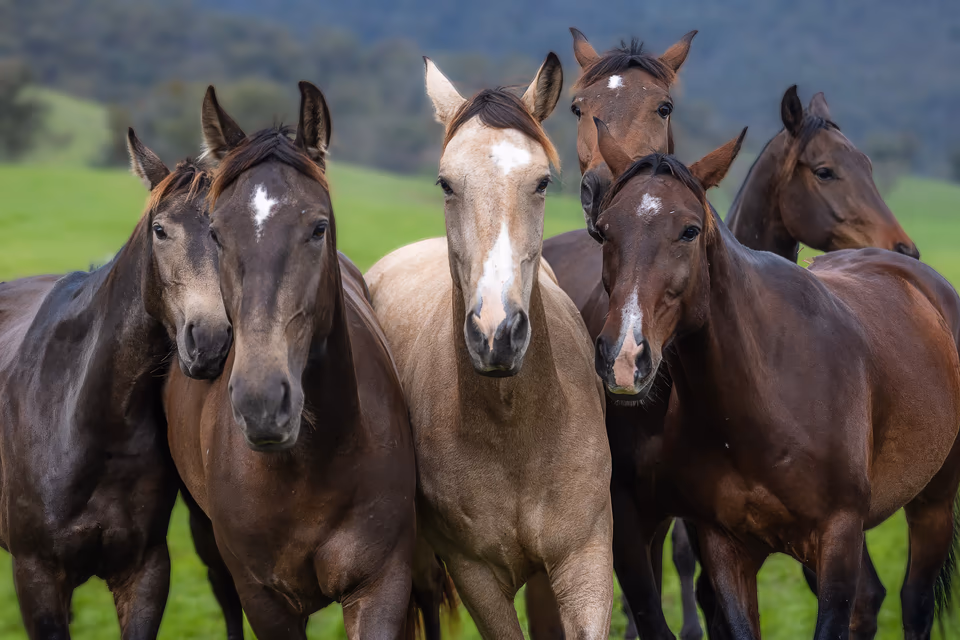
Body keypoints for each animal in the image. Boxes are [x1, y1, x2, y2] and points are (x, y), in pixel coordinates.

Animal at [163, 83, 417, 640]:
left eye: (318, 228)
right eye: (216, 233)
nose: (261, 402)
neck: (308, 469)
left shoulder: (381, 585)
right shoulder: (266, 600)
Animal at [364, 55, 613, 639]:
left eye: (542, 182)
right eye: (446, 184)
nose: (496, 333)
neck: (516, 430)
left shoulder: (585, 560)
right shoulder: (475, 575)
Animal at [591, 122, 960, 640]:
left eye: (689, 230)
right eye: (604, 231)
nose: (624, 356)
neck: (763, 397)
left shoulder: (838, 537)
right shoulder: (724, 546)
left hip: (934, 503)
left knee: (914, 602)